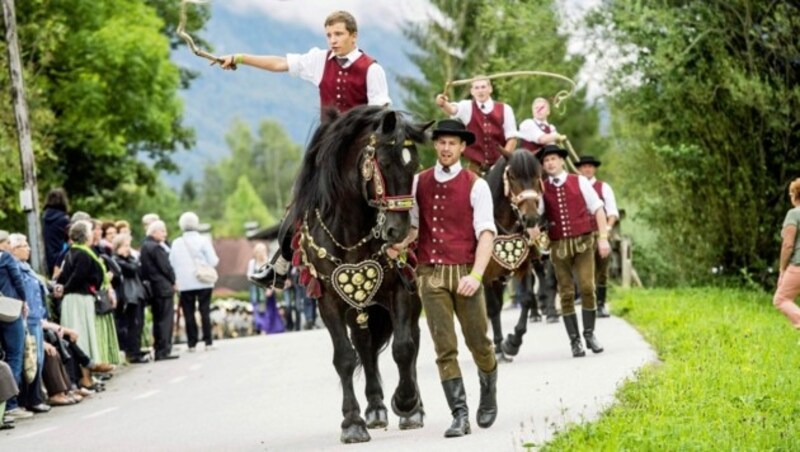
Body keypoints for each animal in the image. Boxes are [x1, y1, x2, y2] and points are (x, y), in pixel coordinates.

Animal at [286, 105, 432, 442]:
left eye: (414, 166)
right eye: (385, 162)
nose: (398, 232)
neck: (351, 229)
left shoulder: (400, 290)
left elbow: (404, 347)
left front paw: (406, 403)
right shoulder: (328, 300)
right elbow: (344, 357)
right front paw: (352, 422)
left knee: (411, 340)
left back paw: (412, 408)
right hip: (358, 307)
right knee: (364, 346)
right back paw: (375, 407)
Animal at [482, 152, 544, 364]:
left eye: (537, 176)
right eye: (513, 177)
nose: (531, 218)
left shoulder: (523, 266)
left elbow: (526, 298)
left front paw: (512, 343)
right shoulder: (484, 275)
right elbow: (492, 308)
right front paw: (500, 348)